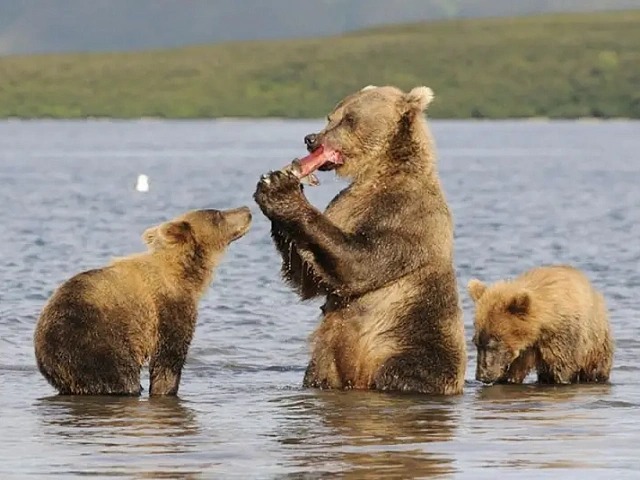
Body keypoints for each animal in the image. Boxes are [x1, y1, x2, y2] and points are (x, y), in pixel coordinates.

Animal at [33, 207, 252, 396]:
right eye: (218, 214)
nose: (247, 210)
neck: (185, 274)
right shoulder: (167, 308)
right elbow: (169, 357)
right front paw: (165, 389)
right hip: (95, 345)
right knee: (120, 379)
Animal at [254, 85, 467, 395]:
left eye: (349, 119)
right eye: (330, 116)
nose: (311, 139)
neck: (379, 173)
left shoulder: (406, 215)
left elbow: (362, 264)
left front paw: (282, 190)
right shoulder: (344, 205)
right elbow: (311, 278)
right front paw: (275, 184)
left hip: (411, 338)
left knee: (406, 371)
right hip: (325, 362)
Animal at [467, 265, 614, 385]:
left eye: (495, 342)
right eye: (476, 342)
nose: (481, 376)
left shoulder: (562, 337)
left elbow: (563, 367)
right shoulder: (524, 350)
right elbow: (513, 371)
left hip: (596, 343)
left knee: (596, 368)